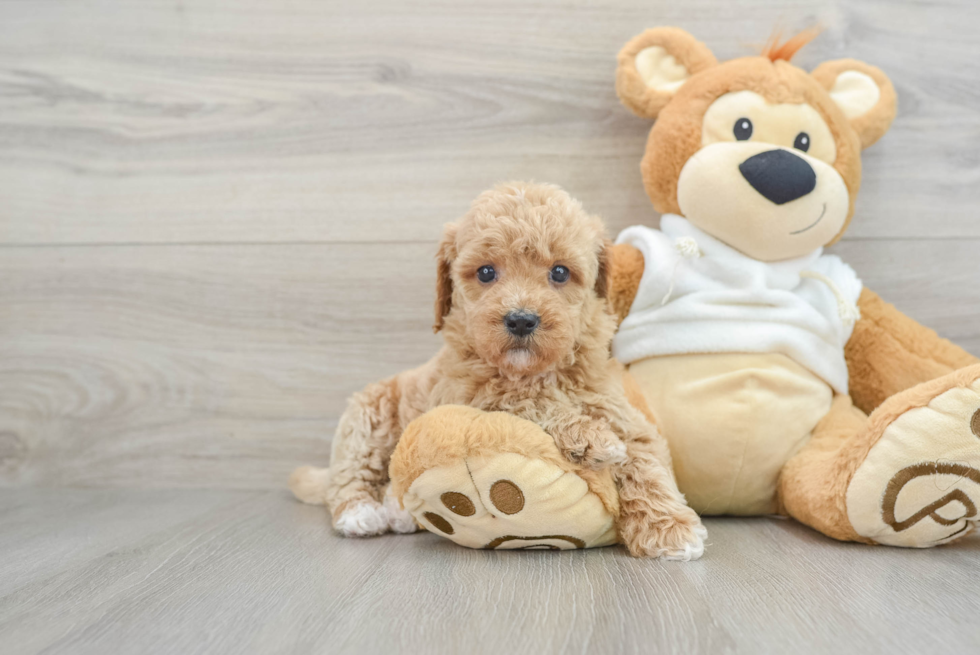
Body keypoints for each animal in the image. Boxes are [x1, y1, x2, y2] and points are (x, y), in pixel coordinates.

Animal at [290, 181, 704, 560]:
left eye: (560, 273)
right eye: (486, 272)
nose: (521, 320)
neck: (536, 371)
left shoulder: (614, 405)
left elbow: (644, 458)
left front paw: (670, 529)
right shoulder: (470, 396)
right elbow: (527, 400)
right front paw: (591, 437)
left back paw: (398, 511)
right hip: (368, 416)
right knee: (350, 472)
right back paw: (361, 514)